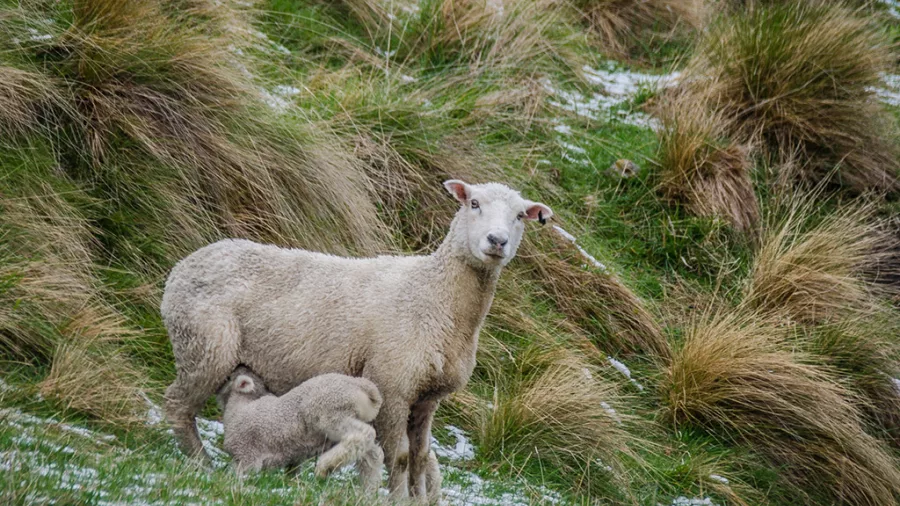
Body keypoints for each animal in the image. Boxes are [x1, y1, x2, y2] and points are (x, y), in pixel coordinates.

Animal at [216, 366, 384, 491]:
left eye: (229, 377)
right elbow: (293, 471)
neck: (239, 408)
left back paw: (324, 468)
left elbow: (238, 475)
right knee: (372, 453)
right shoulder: (293, 458)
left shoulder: (247, 456)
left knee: (363, 434)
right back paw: (369, 491)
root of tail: (363, 387)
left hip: (331, 414)